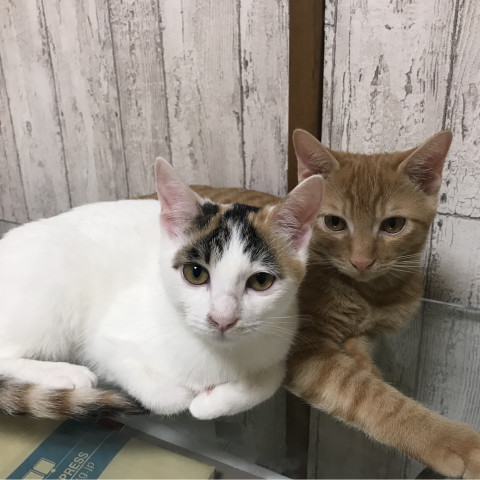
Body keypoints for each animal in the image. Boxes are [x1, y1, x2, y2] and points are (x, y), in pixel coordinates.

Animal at [0, 157, 324, 421]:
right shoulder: (103, 342)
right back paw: (64, 373)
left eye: (260, 282)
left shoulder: (280, 341)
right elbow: (166, 395)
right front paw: (187, 396)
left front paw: (211, 402)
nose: (222, 319)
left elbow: (269, 379)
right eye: (195, 273)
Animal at [191, 129, 480, 478]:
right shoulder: (305, 349)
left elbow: (362, 352)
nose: (362, 261)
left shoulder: (373, 331)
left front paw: (366, 364)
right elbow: (373, 397)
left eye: (393, 225)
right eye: (334, 223)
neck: (370, 295)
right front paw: (452, 441)